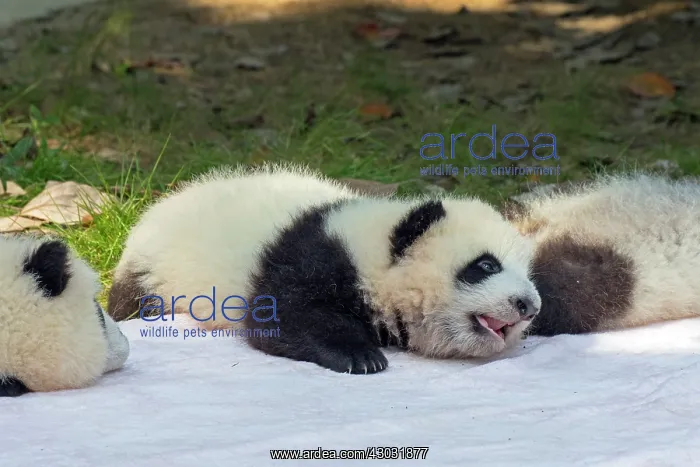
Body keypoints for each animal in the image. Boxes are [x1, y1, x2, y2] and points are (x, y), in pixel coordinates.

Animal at [107, 163, 541, 374]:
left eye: (527, 271)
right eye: (485, 265)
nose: (529, 306)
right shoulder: (311, 254)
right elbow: (283, 317)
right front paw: (360, 356)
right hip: (156, 268)